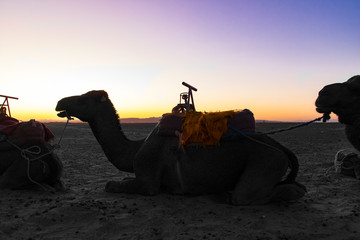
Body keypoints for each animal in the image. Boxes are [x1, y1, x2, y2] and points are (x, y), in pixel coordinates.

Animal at [56, 90, 306, 204]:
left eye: (82, 99)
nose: (59, 102)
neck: (135, 149)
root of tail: (280, 148)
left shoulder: (148, 180)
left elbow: (111, 185)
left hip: (266, 161)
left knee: (248, 195)